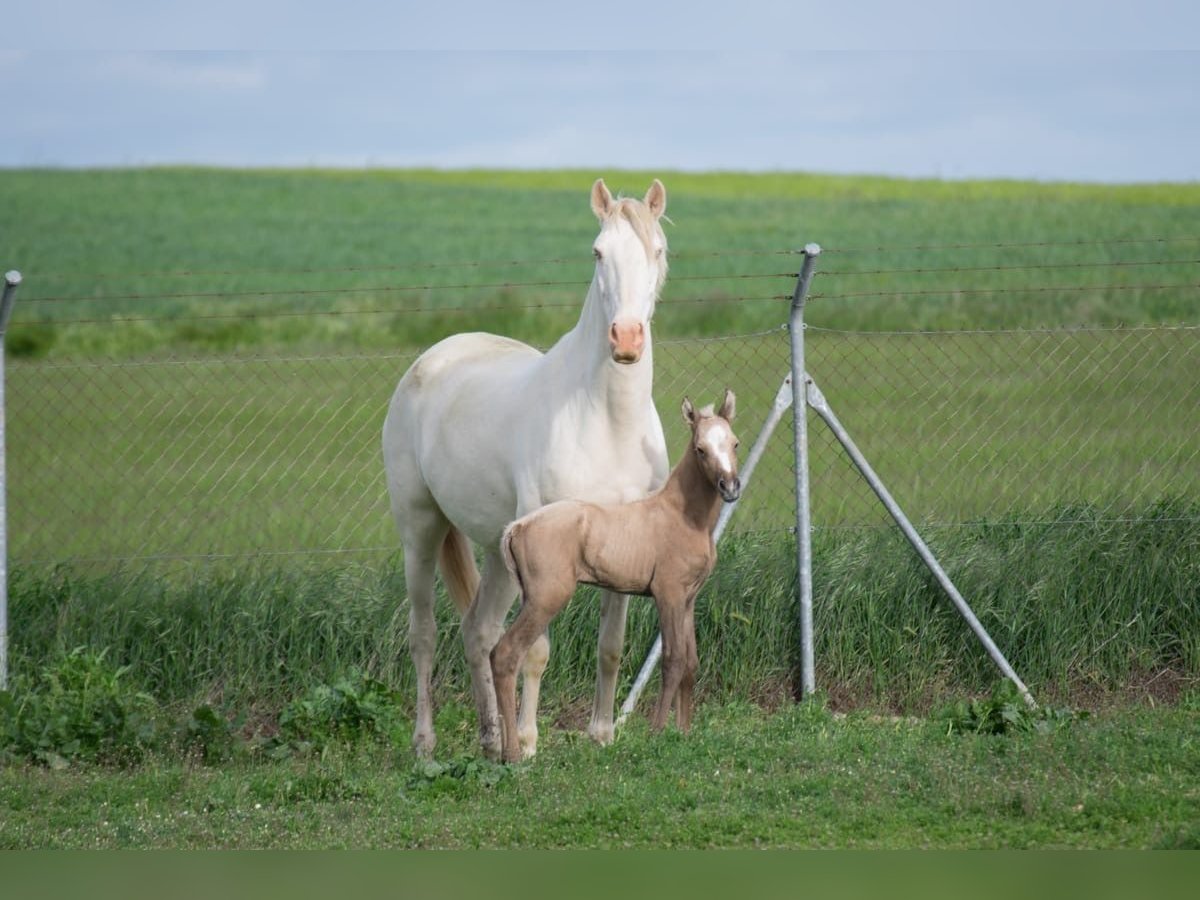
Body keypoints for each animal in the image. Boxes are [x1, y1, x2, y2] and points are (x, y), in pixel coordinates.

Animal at [381, 177, 672, 763]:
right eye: (598, 252)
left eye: (657, 251)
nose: (627, 339)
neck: (608, 421)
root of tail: (433, 358)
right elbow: (536, 650)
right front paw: (533, 741)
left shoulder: (624, 545)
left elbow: (610, 645)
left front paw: (601, 733)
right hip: (419, 529)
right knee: (424, 634)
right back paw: (427, 742)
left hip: (498, 551)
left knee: (478, 631)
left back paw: (492, 738)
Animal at [489, 391, 739, 763]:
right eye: (700, 449)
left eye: (735, 443)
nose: (730, 487)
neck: (683, 517)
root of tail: (517, 527)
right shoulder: (668, 594)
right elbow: (673, 659)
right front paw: (657, 734)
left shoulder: (689, 598)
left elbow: (692, 661)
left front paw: (684, 733)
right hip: (546, 599)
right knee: (505, 655)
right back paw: (515, 754)